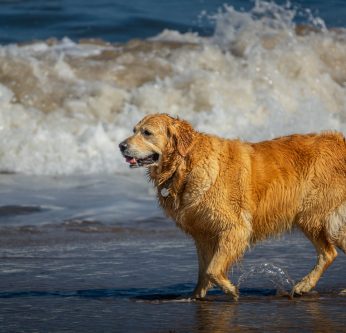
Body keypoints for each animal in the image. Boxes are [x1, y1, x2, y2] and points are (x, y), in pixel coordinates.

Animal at [119, 113, 346, 300]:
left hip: (313, 216)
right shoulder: (202, 234)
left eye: (147, 133)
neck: (185, 166)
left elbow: (212, 269)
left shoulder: (235, 228)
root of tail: (340, 141)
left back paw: (304, 285)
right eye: (134, 130)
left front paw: (230, 289)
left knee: (328, 253)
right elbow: (203, 270)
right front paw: (196, 296)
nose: (121, 146)